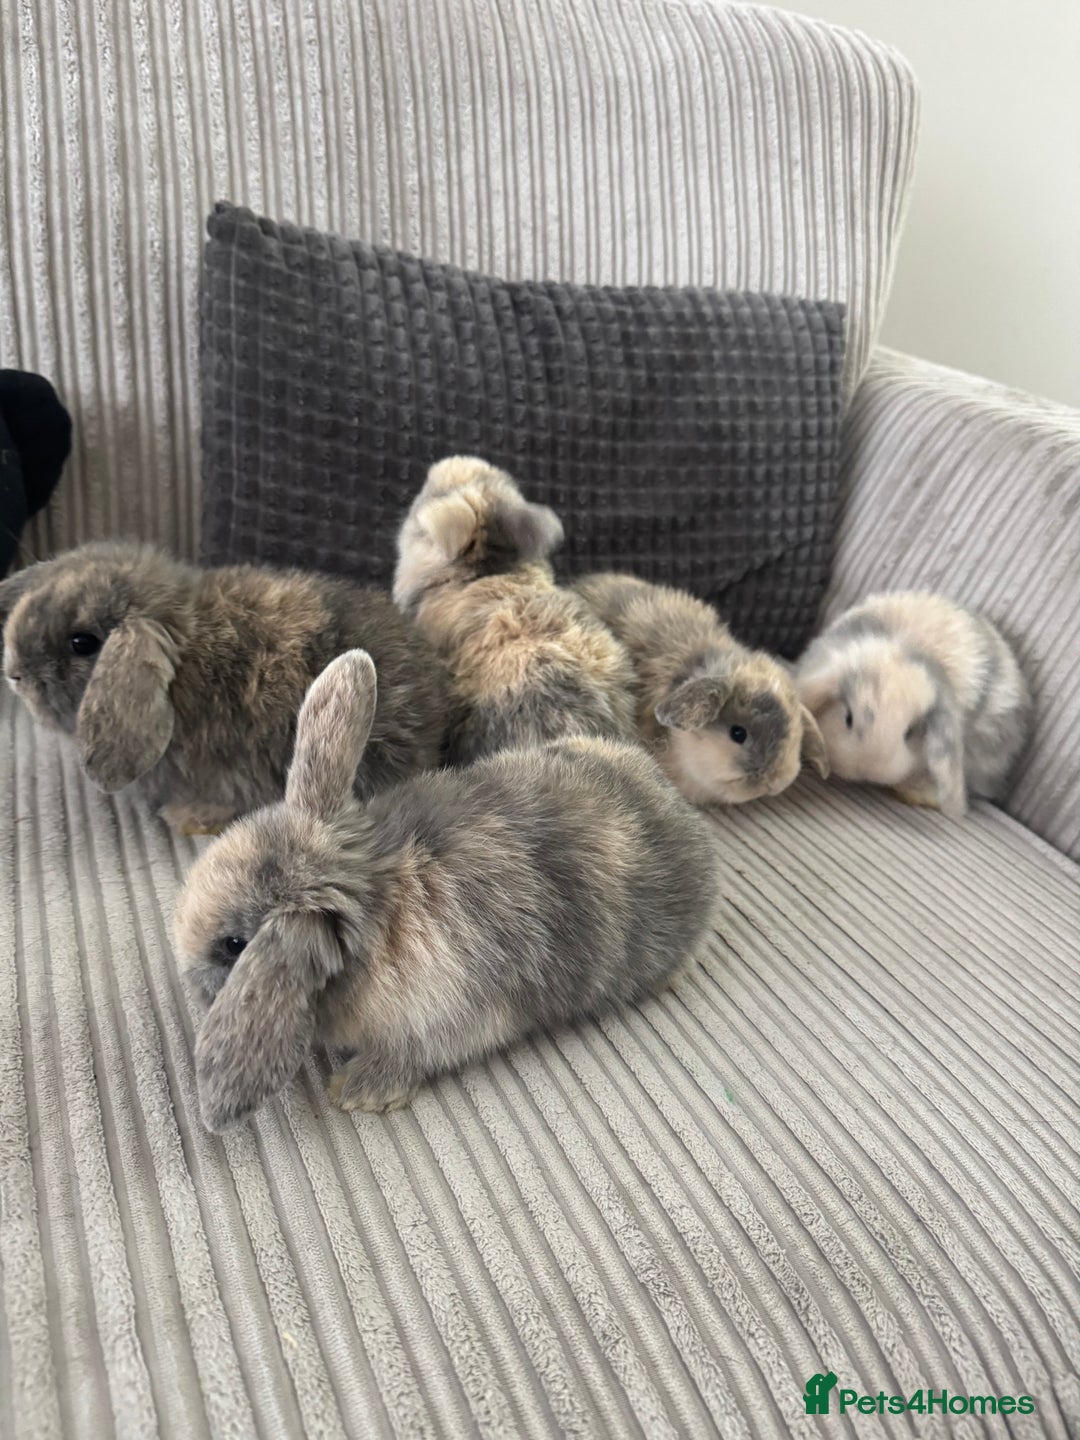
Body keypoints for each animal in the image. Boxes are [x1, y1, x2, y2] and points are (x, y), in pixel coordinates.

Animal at [174, 649, 720, 1131]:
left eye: (234, 946)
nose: (188, 984)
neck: (373, 895)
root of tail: (677, 805)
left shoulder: (448, 1016)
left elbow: (411, 1054)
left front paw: (356, 1092)